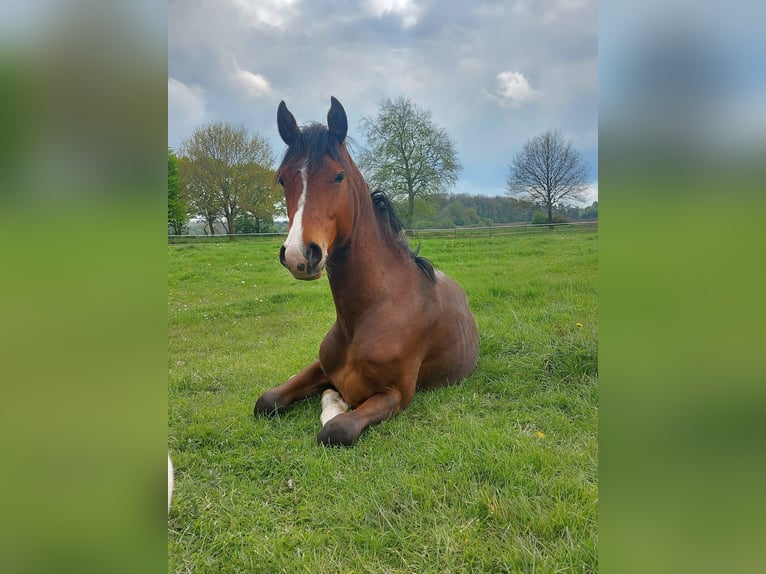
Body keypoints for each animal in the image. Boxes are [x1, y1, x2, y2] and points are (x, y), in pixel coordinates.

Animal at [254, 98, 480, 450]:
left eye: (339, 176)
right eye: (283, 179)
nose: (298, 255)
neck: (368, 314)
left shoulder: (396, 395)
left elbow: (336, 431)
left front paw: (334, 408)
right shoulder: (320, 367)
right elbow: (266, 400)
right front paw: (332, 399)